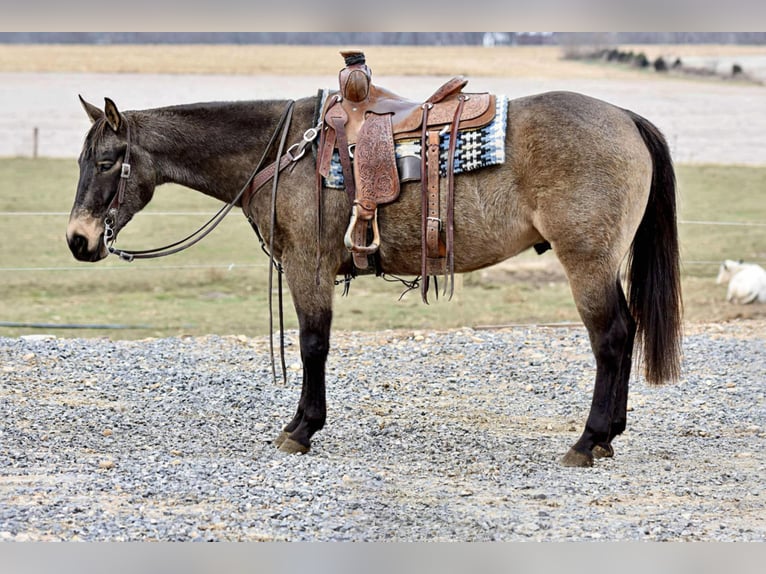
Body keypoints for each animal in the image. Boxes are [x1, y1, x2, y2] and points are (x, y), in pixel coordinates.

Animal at [67, 65, 684, 470]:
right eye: (83, 159)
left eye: (107, 161)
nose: (78, 240)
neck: (284, 152)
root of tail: (624, 118)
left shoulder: (308, 266)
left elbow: (313, 345)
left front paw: (301, 428)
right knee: (625, 333)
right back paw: (608, 435)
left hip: (587, 262)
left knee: (611, 337)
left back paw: (588, 440)